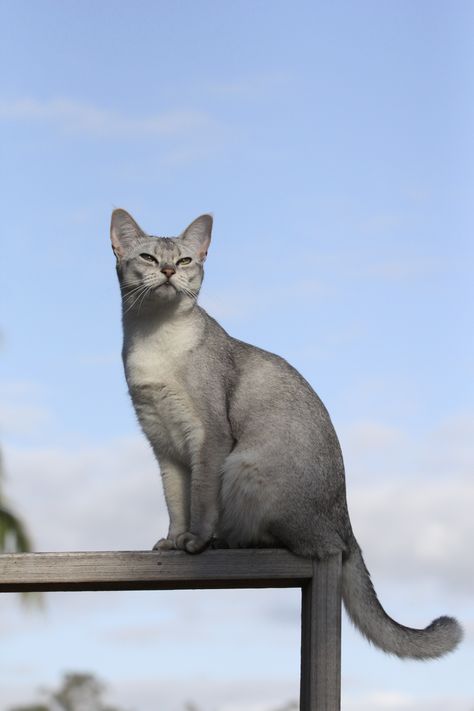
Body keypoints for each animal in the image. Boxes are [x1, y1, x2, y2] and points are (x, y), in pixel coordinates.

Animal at [109, 209, 462, 660]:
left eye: (185, 261)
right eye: (150, 258)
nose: (169, 272)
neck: (154, 338)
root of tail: (346, 529)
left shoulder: (207, 438)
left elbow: (200, 499)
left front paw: (196, 542)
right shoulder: (165, 445)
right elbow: (176, 503)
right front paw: (174, 542)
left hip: (243, 467)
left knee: (288, 541)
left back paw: (225, 541)